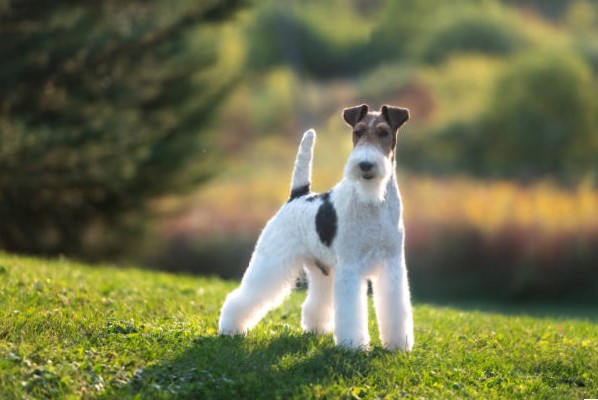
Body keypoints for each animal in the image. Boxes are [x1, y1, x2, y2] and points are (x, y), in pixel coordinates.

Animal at [218, 104, 414, 352]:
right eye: (358, 132)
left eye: (383, 132)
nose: (365, 165)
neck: (372, 202)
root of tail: (297, 195)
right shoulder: (350, 267)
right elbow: (351, 311)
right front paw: (354, 346)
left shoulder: (392, 265)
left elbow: (395, 307)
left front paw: (398, 344)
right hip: (271, 261)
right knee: (242, 296)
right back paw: (230, 328)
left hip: (322, 269)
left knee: (315, 302)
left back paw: (316, 328)